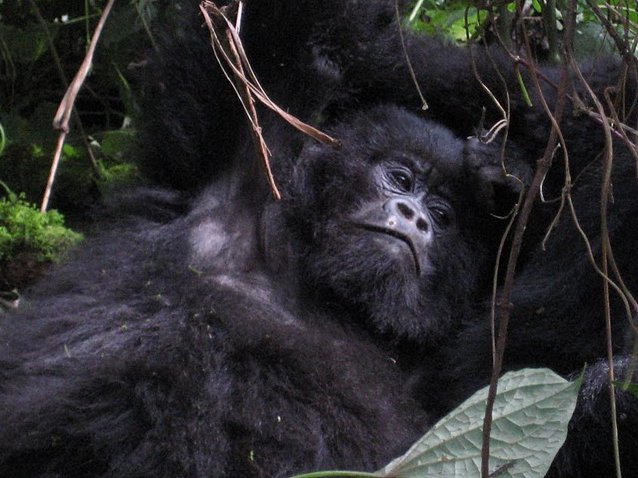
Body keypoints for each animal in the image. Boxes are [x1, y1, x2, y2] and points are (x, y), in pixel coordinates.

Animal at [0, 0, 636, 478]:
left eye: (444, 216)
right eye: (399, 178)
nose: (414, 217)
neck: (323, 291)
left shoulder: (448, 395)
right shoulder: (247, 158)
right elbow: (289, 33)